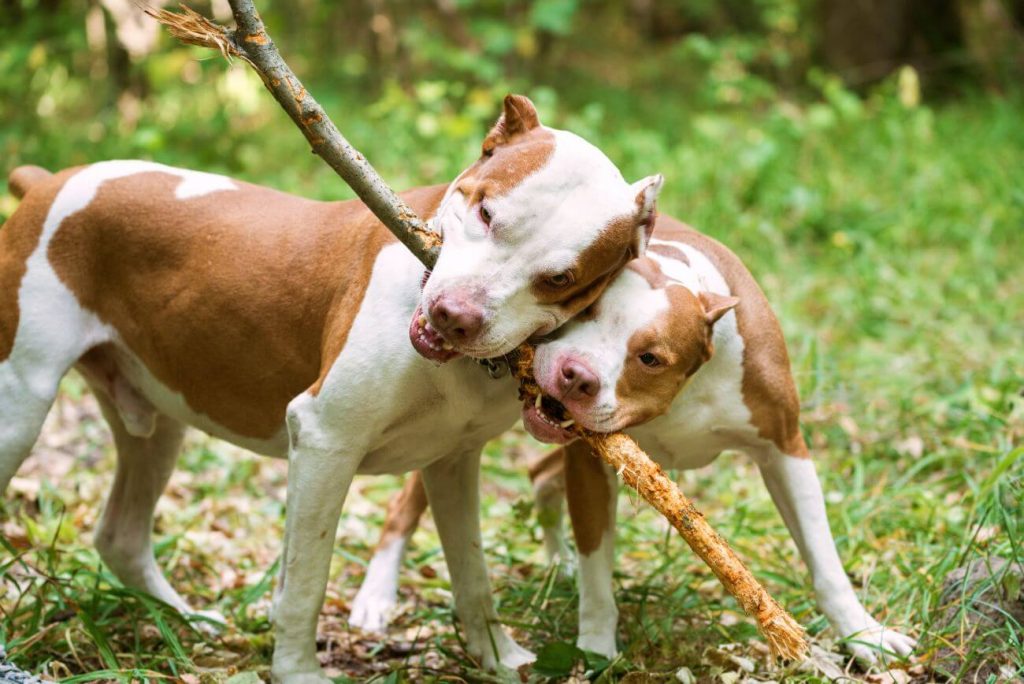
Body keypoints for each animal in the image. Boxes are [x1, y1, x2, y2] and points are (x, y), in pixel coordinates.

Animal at [0, 96, 663, 684]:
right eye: (486, 214)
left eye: (560, 278)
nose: (454, 317)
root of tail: (51, 181)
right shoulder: (325, 441)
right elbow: (307, 579)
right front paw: (297, 672)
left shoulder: (453, 464)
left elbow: (472, 576)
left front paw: (498, 660)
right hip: (21, 406)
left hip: (159, 425)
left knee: (122, 536)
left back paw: (187, 622)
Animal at [348, 218, 917, 663]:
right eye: (585, 312)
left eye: (650, 357)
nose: (577, 376)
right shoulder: (592, 464)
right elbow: (599, 566)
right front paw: (597, 649)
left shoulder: (785, 447)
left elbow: (825, 560)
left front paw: (865, 635)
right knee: (408, 501)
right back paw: (377, 595)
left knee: (539, 477)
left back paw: (556, 557)